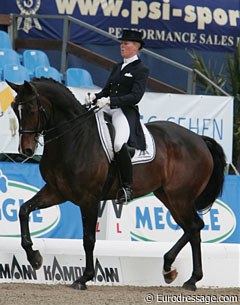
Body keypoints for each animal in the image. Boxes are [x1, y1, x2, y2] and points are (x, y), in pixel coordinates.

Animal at [6, 78, 226, 290]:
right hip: (168, 196)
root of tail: (199, 139)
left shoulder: (89, 199)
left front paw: (84, 278)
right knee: (192, 228)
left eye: (31, 109)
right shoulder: (56, 192)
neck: (73, 137)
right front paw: (34, 258)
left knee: (194, 227)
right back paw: (171, 270)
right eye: (15, 108)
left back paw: (191, 278)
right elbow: (24, 210)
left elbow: (88, 239)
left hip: (180, 197)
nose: (26, 150)